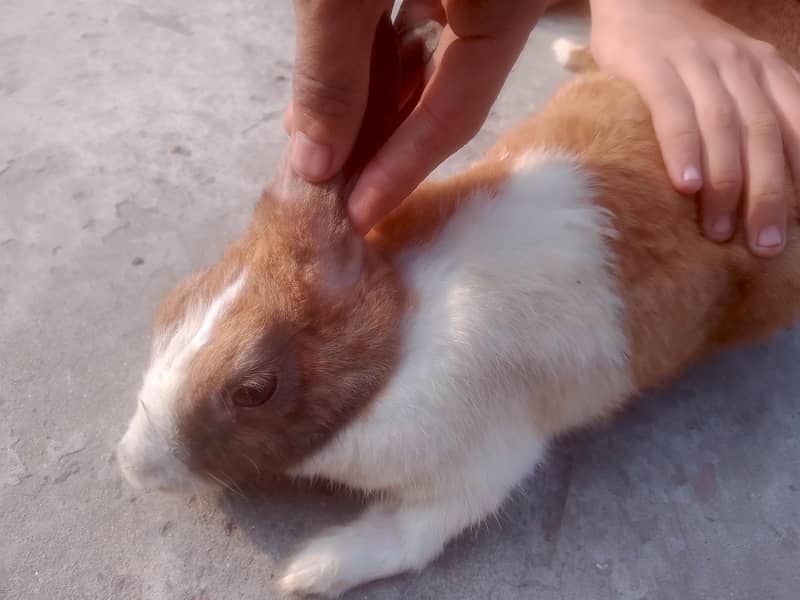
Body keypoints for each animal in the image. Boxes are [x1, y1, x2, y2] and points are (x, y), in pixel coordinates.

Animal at [116, 2, 800, 597]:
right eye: (173, 301)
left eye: (254, 389)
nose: (132, 465)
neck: (402, 331)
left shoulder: (479, 466)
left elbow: (411, 534)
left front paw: (308, 572)